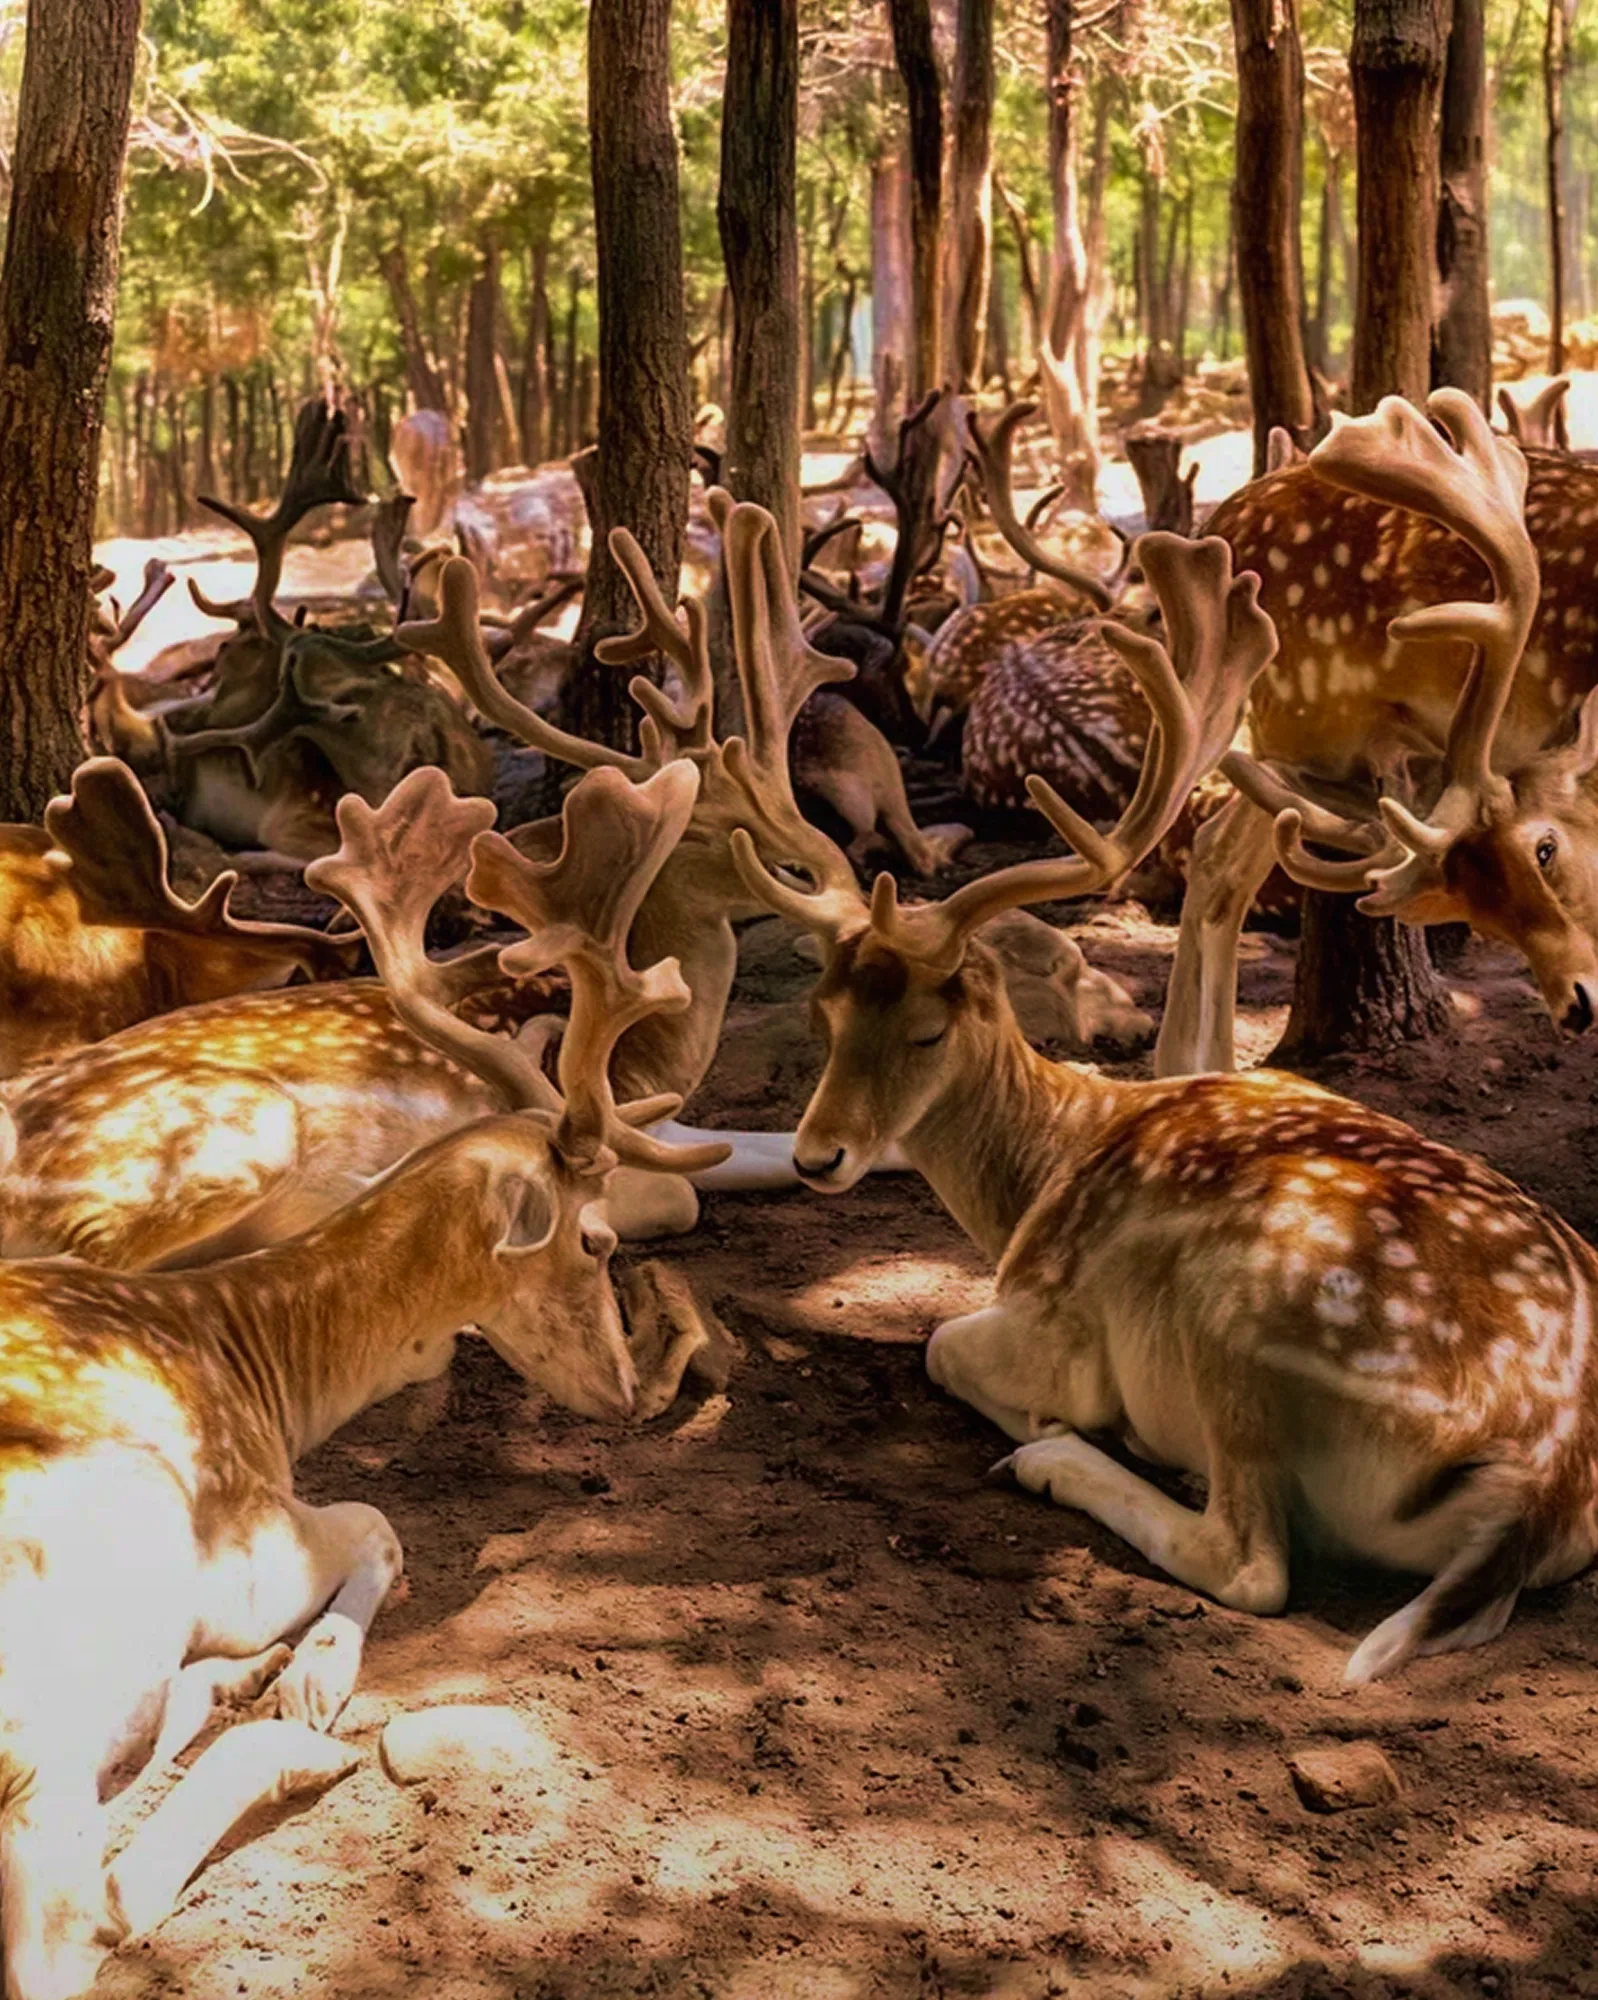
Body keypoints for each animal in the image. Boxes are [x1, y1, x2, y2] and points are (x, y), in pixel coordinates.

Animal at [0, 755, 730, 2000]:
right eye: (590, 1240)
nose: (625, 1396)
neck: (250, 1355)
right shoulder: (252, 1536)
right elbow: (382, 1521)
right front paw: (310, 1677)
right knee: (84, 1913)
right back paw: (293, 1734)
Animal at [731, 515, 1598, 1681]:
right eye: (824, 1011)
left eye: (928, 1026)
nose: (818, 1153)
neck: (1044, 1171)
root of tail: (1546, 1474)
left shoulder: (1054, 1317)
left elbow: (940, 1340)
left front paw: (1054, 1423)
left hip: (1240, 1321)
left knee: (1253, 1563)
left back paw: (1067, 1459)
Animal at [1164, 387, 1598, 1075]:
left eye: (1546, 852)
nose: (1577, 1005)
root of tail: (1218, 526)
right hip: (1307, 715)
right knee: (1222, 855)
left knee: (1217, 851)